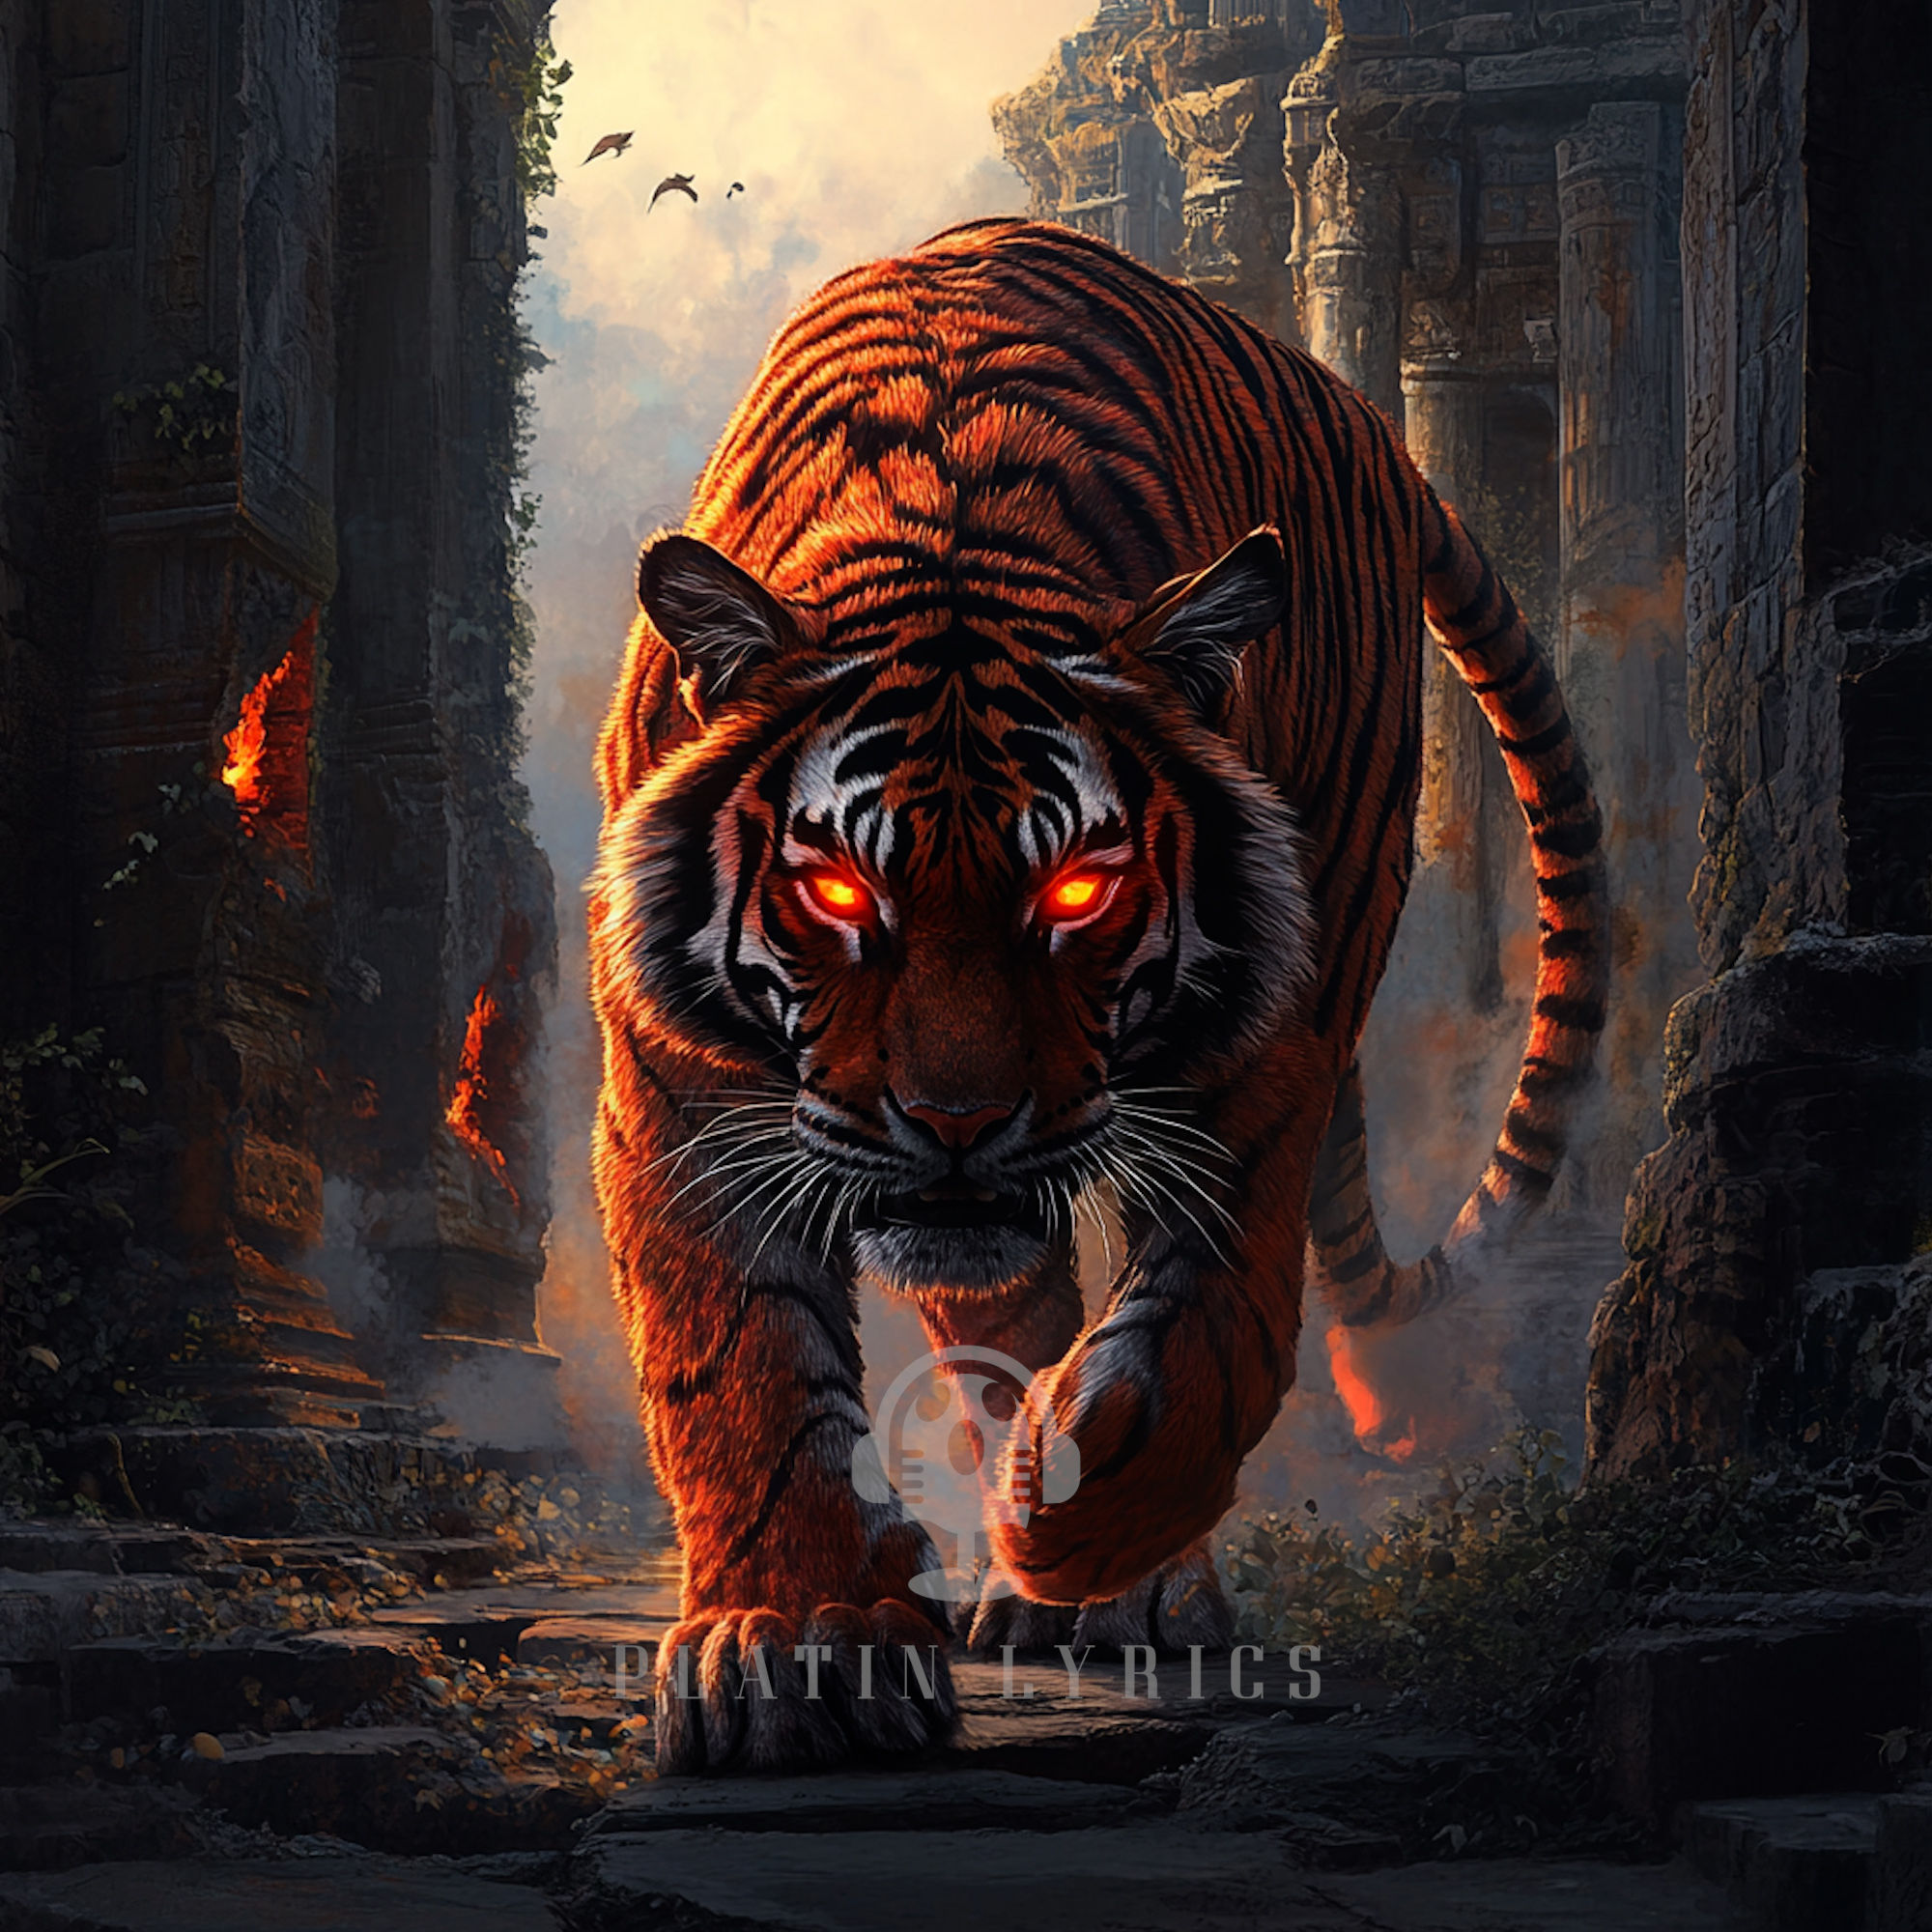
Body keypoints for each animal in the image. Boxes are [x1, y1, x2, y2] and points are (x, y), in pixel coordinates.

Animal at [588, 218, 1608, 1774]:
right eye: (838, 893)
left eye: (1076, 891)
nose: (955, 1121)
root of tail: (1366, 415)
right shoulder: (684, 1083)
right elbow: (743, 1362)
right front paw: (794, 1642)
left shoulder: (1260, 1055)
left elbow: (1209, 1327)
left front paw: (1081, 1523)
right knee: (1002, 1304)